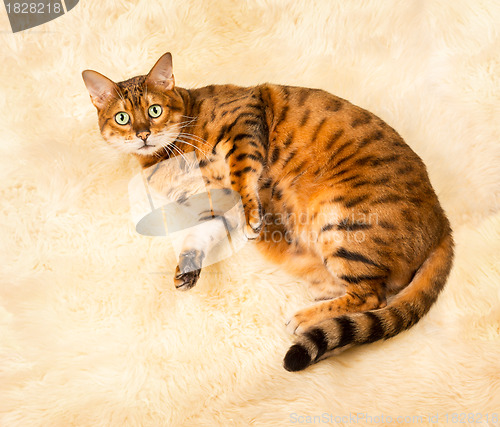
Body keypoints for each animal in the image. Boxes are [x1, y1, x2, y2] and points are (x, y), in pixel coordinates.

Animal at [81, 51, 454, 372]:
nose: (143, 134)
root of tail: (442, 222)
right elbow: (199, 235)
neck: (166, 159)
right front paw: (188, 266)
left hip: (340, 223)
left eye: (155, 110)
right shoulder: (215, 208)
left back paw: (305, 317)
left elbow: (240, 172)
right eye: (122, 118)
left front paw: (252, 216)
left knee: (373, 297)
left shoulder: (244, 119)